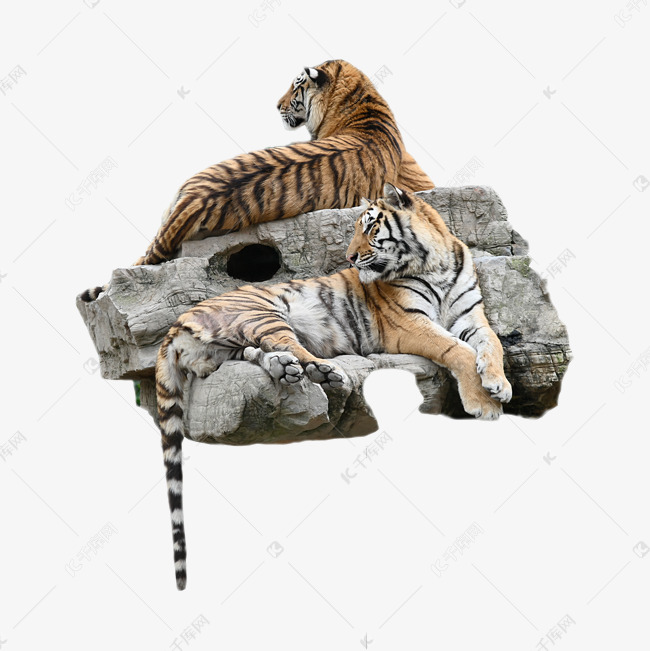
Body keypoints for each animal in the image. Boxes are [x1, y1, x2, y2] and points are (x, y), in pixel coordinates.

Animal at [156, 183, 512, 589]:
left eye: (370, 228)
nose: (350, 257)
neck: (435, 264)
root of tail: (178, 321)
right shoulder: (408, 324)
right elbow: (459, 352)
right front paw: (484, 404)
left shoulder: (472, 317)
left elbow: (491, 345)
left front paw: (499, 386)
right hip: (264, 312)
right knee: (286, 345)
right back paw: (325, 372)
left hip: (229, 346)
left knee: (257, 353)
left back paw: (286, 370)